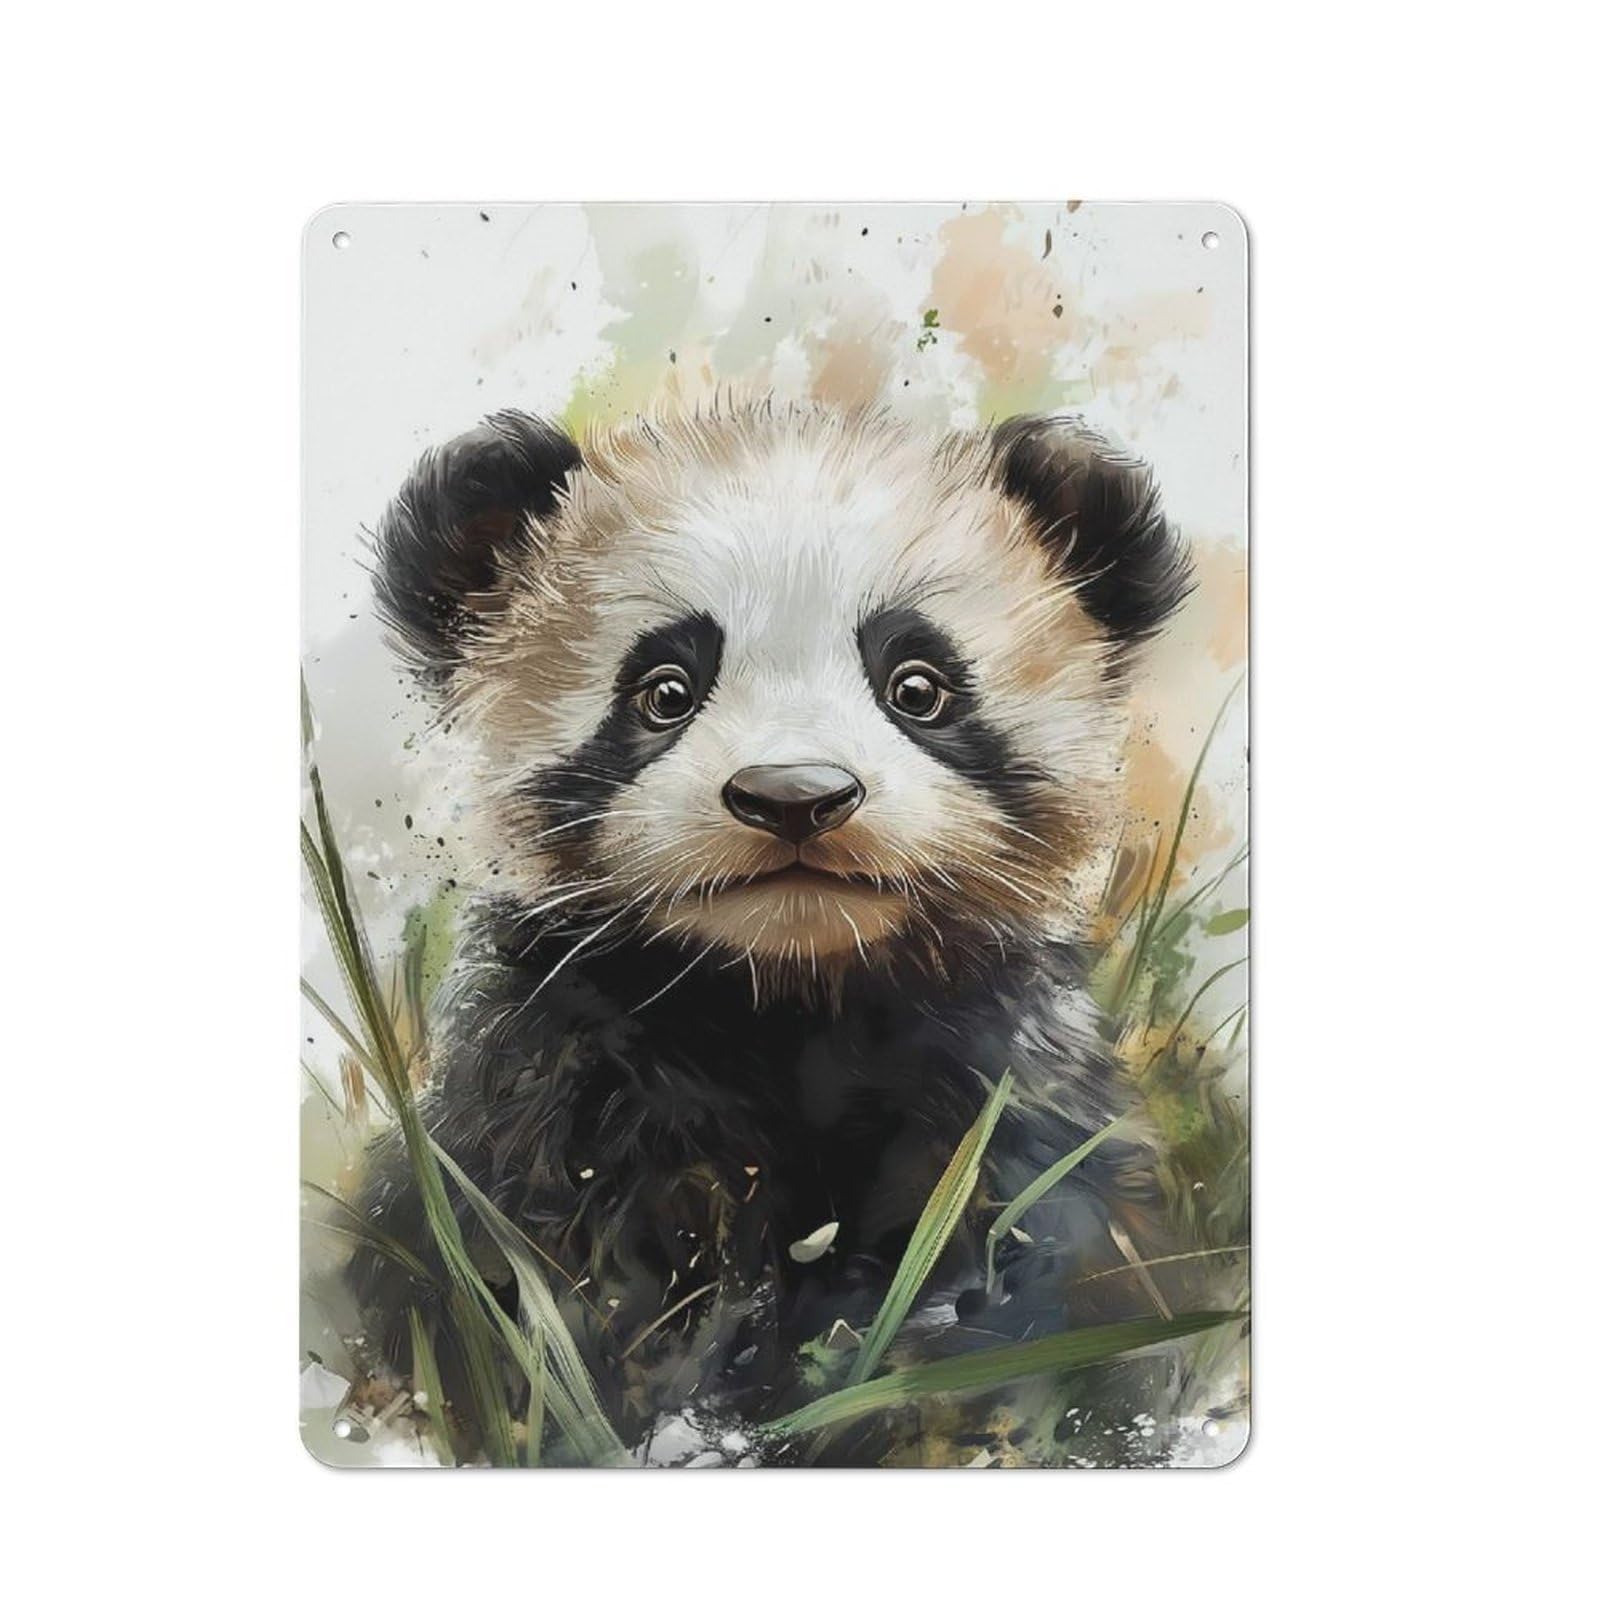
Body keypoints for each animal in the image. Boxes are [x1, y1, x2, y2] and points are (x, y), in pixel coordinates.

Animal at [348, 400, 1193, 1461]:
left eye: (919, 686)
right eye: (664, 690)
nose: (795, 796)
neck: (792, 996)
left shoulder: (1001, 1087)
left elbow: (1055, 1284)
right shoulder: (555, 1093)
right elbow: (524, 1293)